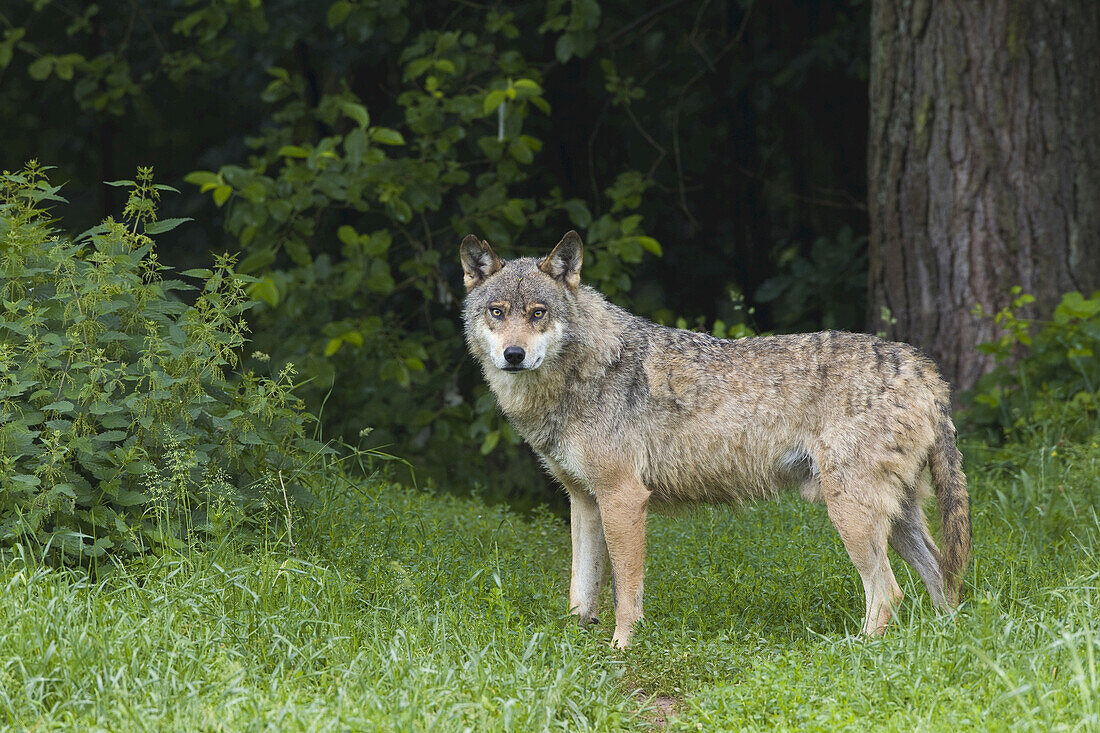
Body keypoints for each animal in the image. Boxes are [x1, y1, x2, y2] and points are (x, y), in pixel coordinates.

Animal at [459, 230, 968, 647]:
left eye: (538, 314)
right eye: (497, 313)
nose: (513, 355)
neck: (581, 372)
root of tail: (923, 369)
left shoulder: (624, 498)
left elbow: (626, 593)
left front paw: (622, 650)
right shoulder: (584, 500)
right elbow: (580, 593)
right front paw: (575, 649)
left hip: (851, 515)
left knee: (889, 594)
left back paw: (855, 652)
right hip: (894, 520)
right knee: (942, 578)